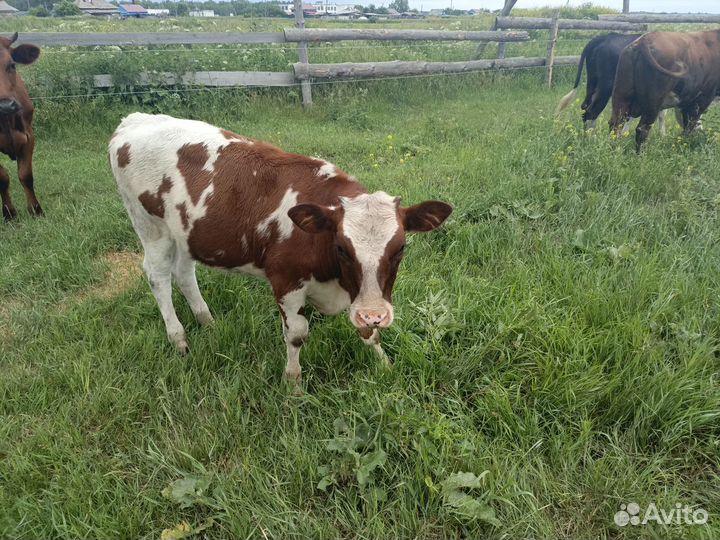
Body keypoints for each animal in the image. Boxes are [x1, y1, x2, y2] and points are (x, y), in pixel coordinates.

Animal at [109, 113, 452, 393]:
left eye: (400, 248)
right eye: (341, 248)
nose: (375, 314)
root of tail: (135, 120)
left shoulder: (362, 295)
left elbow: (368, 333)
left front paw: (384, 365)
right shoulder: (285, 281)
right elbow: (297, 335)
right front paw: (294, 383)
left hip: (185, 231)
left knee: (184, 272)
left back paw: (207, 321)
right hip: (150, 227)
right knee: (158, 277)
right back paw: (178, 337)